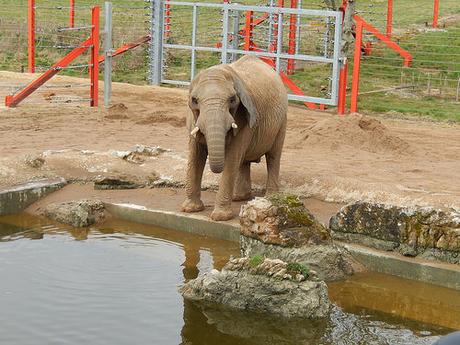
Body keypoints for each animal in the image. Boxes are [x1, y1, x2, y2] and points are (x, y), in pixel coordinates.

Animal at [181, 54, 286, 219]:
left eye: (232, 100)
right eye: (194, 100)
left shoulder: (245, 118)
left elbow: (231, 158)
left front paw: (220, 217)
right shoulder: (193, 120)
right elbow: (195, 155)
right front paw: (190, 209)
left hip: (282, 121)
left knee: (273, 157)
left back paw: (270, 197)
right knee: (244, 161)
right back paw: (239, 197)